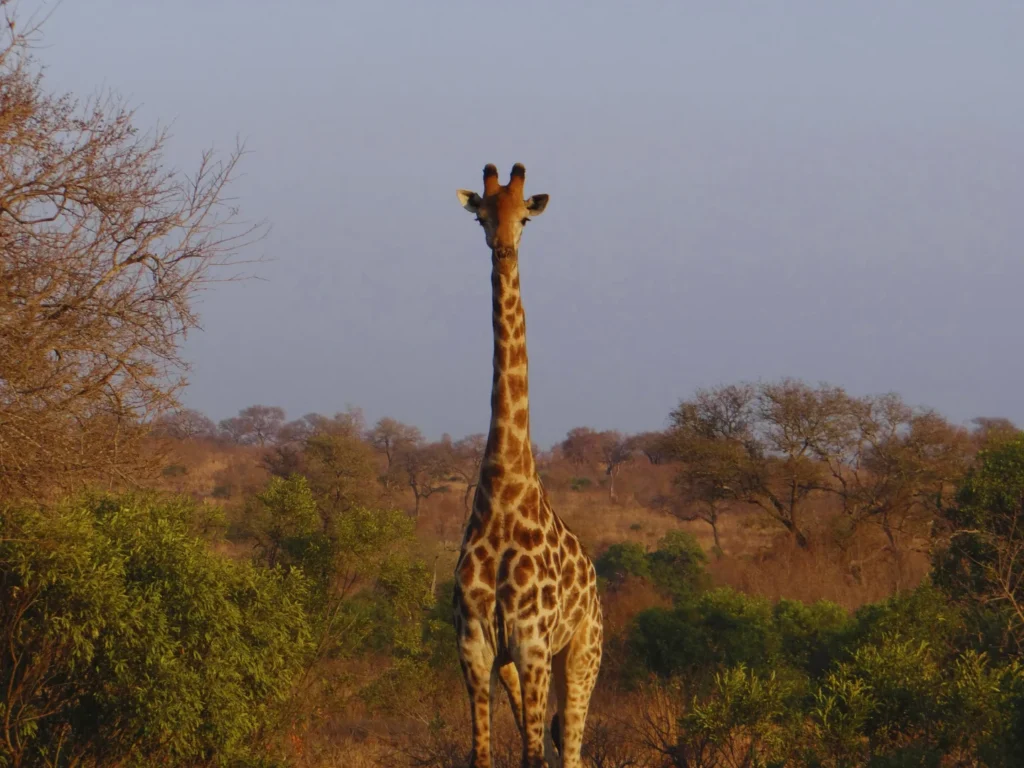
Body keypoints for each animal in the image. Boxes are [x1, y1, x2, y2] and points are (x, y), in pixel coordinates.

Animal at [452, 163, 603, 768]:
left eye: (525, 218)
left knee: (571, 748)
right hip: (516, 666)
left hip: (583, 653)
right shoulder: (476, 646)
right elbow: (483, 755)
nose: (503, 249)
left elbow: (534, 756)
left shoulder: (534, 642)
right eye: (481, 216)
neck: (502, 488)